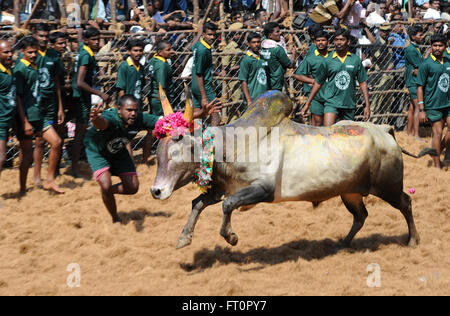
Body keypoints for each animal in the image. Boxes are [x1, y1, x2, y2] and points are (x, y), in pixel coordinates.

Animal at [151, 90, 436, 249]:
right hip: (350, 192)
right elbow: (198, 203)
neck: (233, 145)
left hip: (388, 187)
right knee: (361, 216)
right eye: (159, 151)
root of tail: (385, 130)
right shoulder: (223, 188)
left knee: (406, 203)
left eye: (180, 149)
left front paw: (231, 237)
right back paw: (343, 244)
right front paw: (184, 238)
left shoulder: (262, 189)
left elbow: (227, 205)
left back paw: (413, 240)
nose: (156, 190)